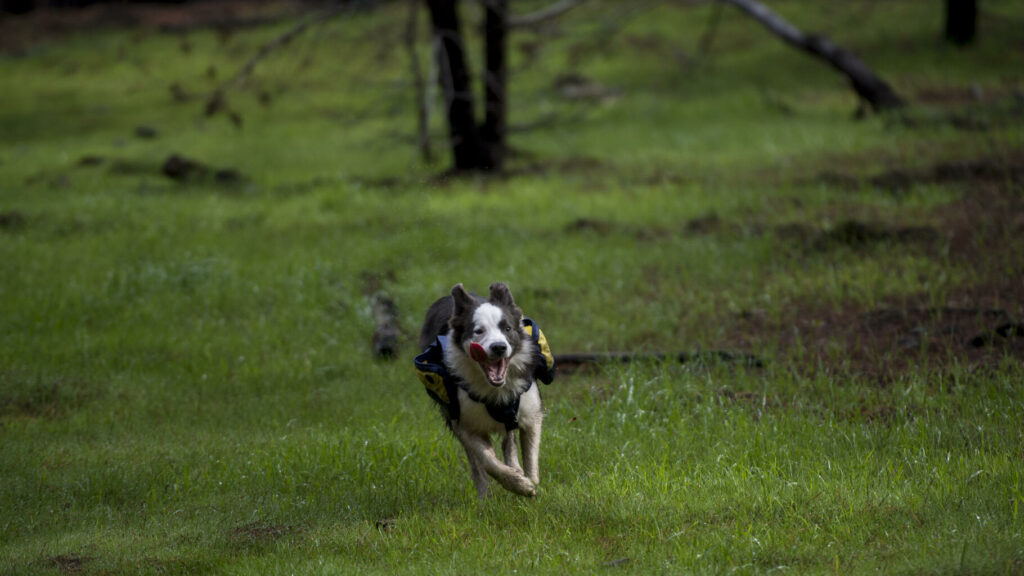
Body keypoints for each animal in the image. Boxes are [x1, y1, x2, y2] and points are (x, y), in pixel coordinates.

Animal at [415, 280, 557, 494]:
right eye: (478, 331)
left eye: (507, 328)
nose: (499, 347)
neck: (496, 390)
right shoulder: (463, 422)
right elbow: (486, 460)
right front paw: (518, 485)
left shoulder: (531, 411)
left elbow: (530, 455)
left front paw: (531, 484)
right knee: (477, 463)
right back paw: (485, 493)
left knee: (509, 440)